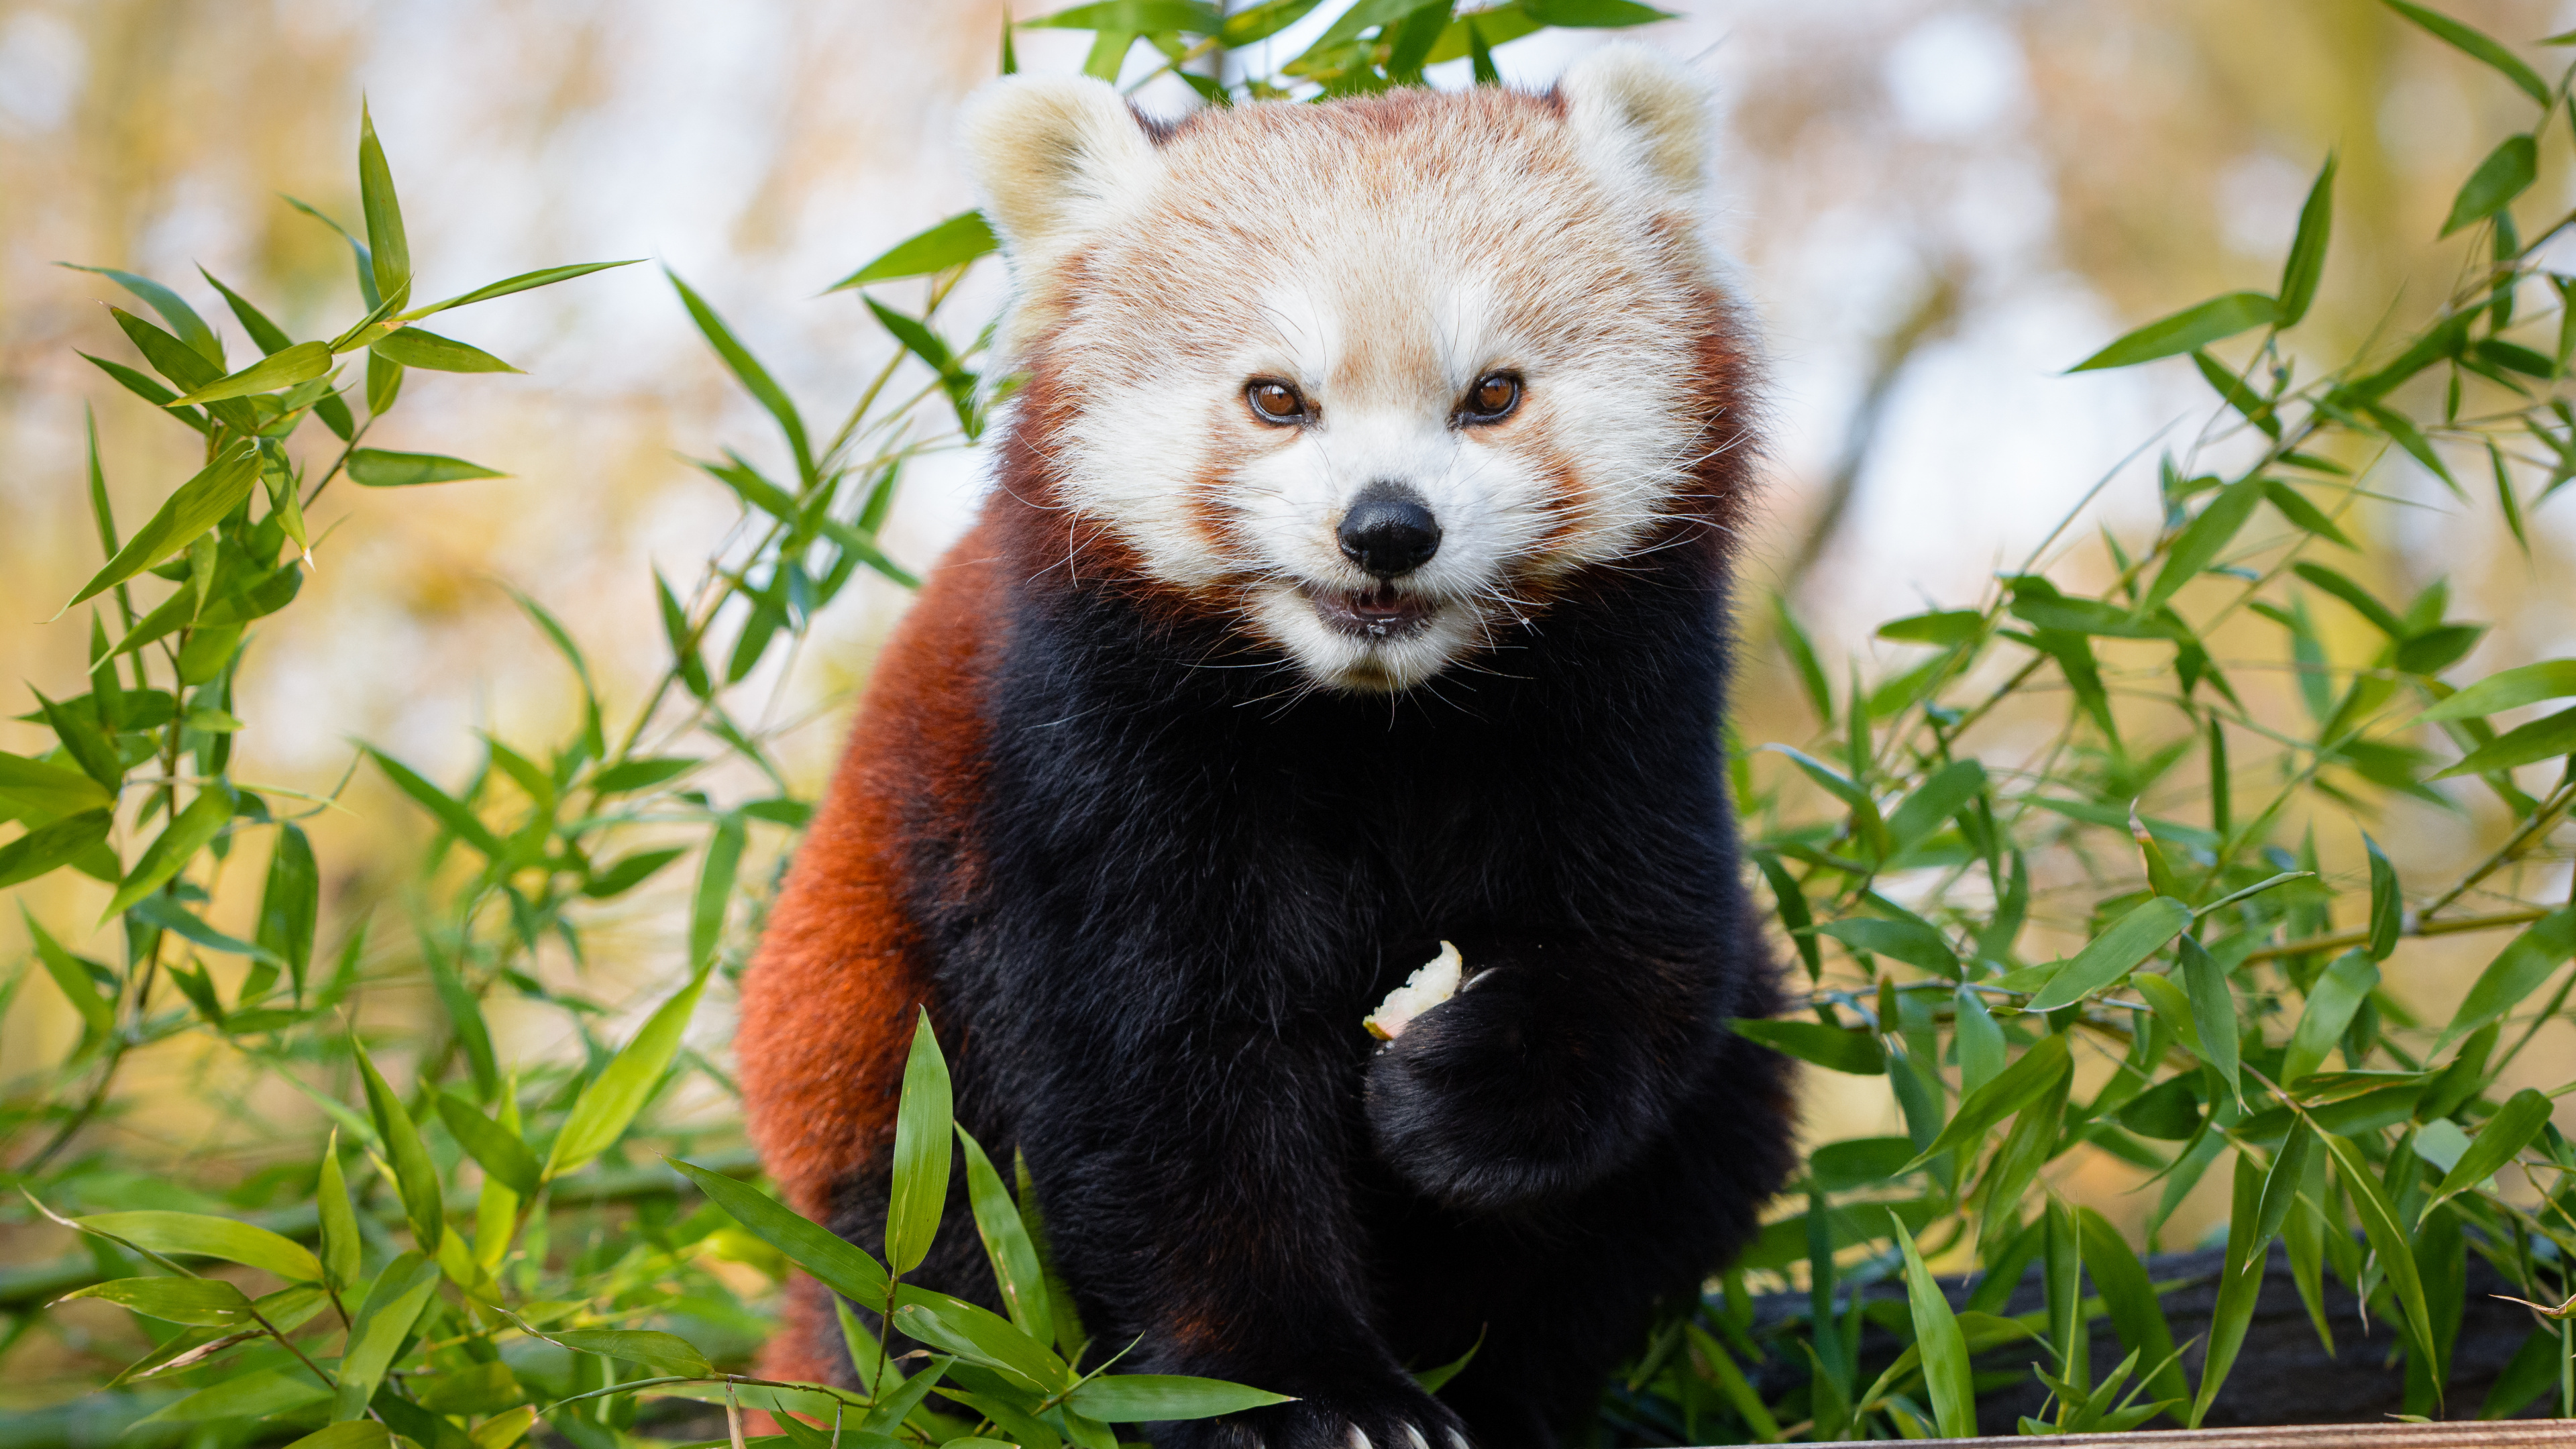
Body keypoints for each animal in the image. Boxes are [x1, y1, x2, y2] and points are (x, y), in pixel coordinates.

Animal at [737, 50, 1792, 1444]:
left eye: (1492, 396)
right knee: (937, 1258)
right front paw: (1310, 1387)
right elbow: (1161, 1090)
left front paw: (1449, 1094)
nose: (1387, 528)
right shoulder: (1088, 756)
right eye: (1278, 399)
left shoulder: (1625, 712)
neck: (1375, 718)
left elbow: (1646, 965)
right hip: (871, 1077)